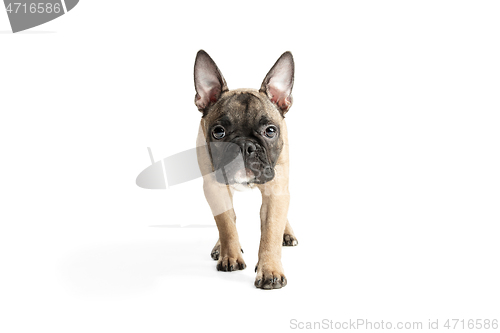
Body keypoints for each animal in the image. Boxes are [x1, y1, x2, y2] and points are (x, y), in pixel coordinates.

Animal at [194, 49, 296, 288]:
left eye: (270, 131)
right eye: (218, 132)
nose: (244, 145)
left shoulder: (276, 191)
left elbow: (271, 230)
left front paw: (270, 270)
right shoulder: (215, 189)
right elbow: (226, 223)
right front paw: (229, 255)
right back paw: (220, 247)